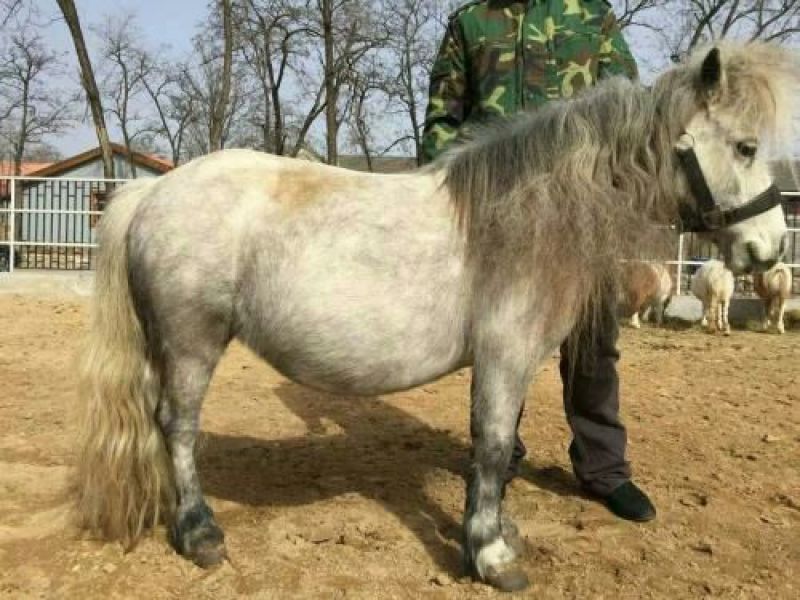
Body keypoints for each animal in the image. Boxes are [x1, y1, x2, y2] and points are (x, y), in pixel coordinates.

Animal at [74, 43, 796, 592]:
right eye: (745, 146)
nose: (770, 248)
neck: (528, 218)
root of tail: (151, 193)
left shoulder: (517, 361)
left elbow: (498, 449)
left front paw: (497, 533)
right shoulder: (504, 354)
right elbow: (493, 446)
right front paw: (490, 556)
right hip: (191, 341)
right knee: (178, 426)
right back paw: (198, 532)